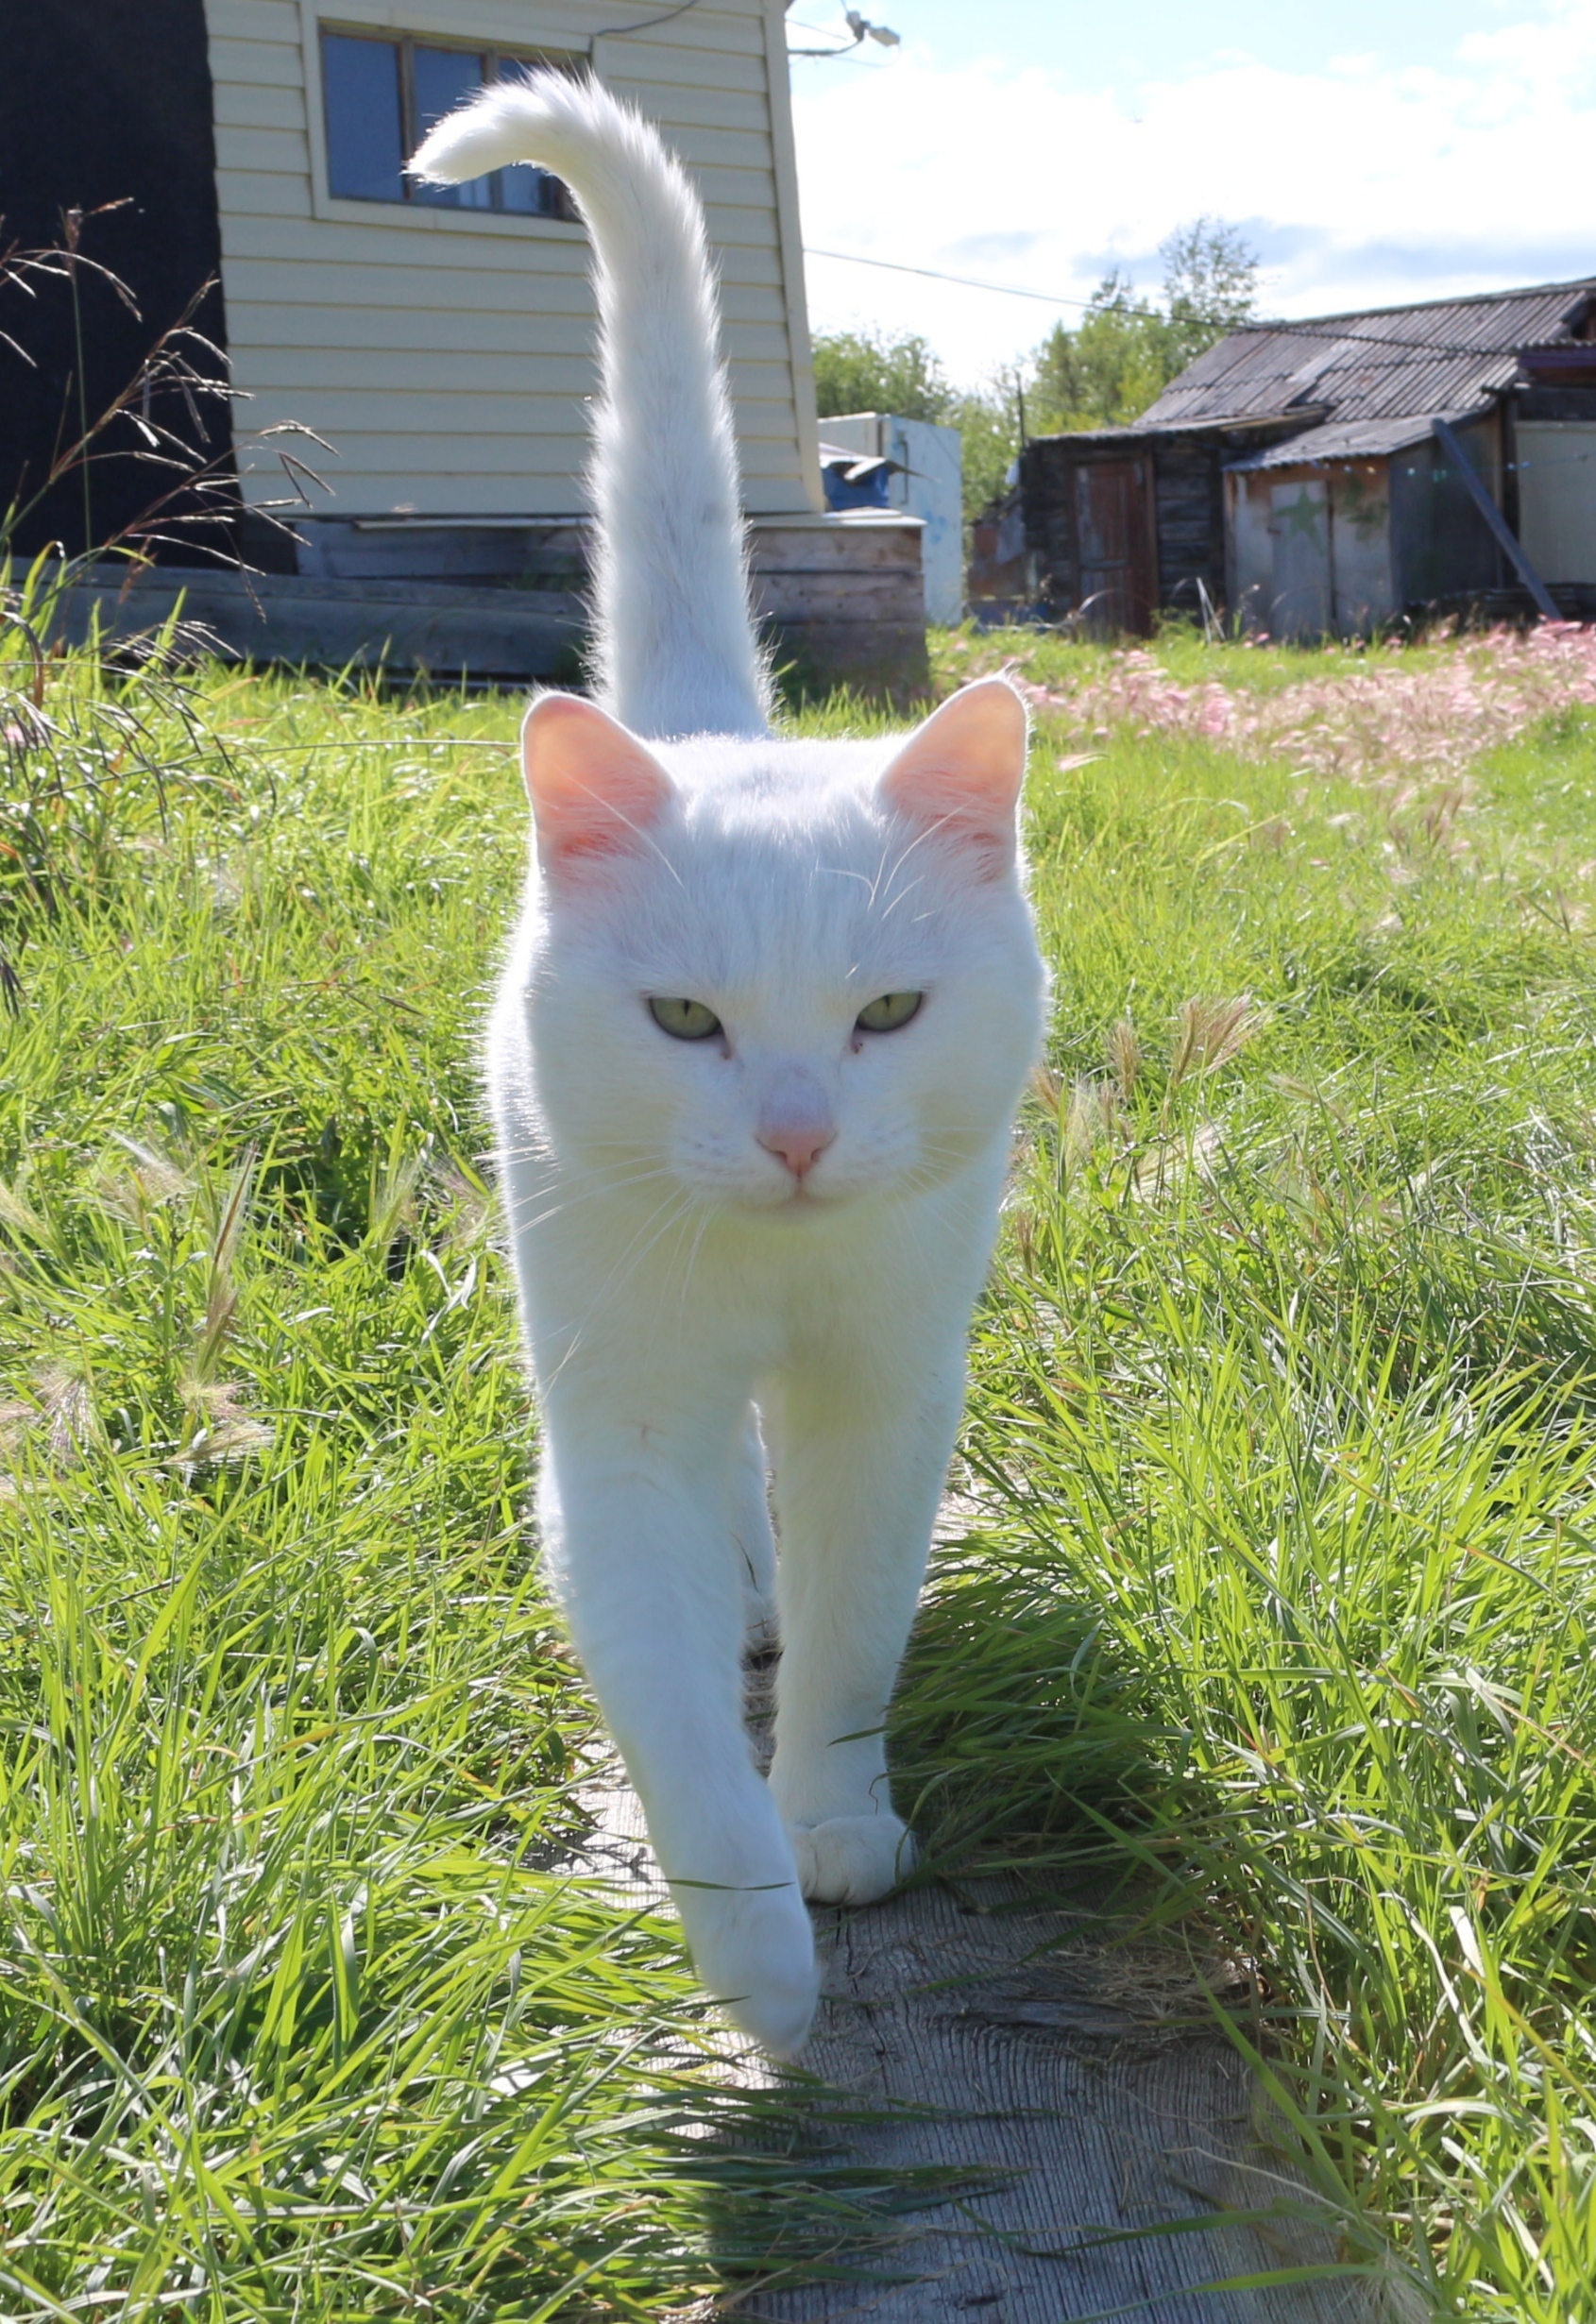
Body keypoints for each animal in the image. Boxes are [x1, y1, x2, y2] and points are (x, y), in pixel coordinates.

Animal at [411, 67, 1049, 2054]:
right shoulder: (616, 1433)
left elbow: (854, 1638)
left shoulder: (883, 1398)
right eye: (686, 1021)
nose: (790, 1138)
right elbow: (674, 1710)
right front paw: (757, 1955)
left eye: (885, 1016)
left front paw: (832, 1826)